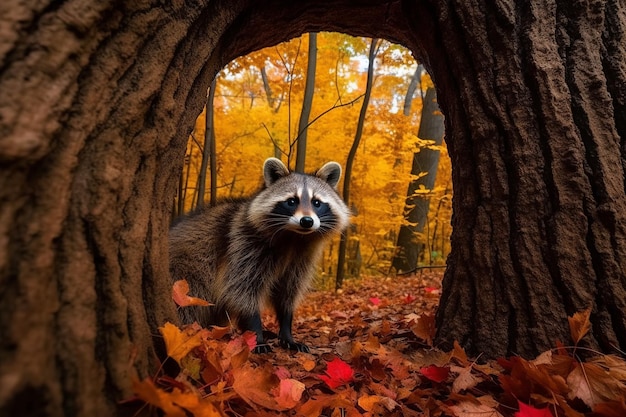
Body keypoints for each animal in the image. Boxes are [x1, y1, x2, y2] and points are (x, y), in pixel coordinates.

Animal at [168, 157, 348, 352]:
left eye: (317, 202)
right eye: (292, 201)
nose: (306, 221)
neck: (294, 237)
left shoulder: (300, 259)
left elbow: (288, 292)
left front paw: (287, 330)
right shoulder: (242, 246)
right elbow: (241, 291)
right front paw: (256, 332)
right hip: (185, 273)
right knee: (189, 303)